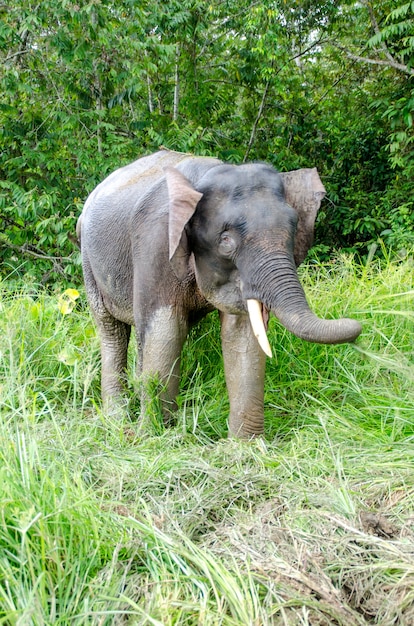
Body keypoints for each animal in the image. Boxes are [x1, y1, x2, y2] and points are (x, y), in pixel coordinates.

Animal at [77, 149, 362, 436]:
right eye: (226, 240)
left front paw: (245, 443)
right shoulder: (155, 242)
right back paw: (117, 419)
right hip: (88, 261)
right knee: (111, 330)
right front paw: (155, 435)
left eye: (293, 229)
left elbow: (242, 332)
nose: (357, 327)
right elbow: (165, 328)